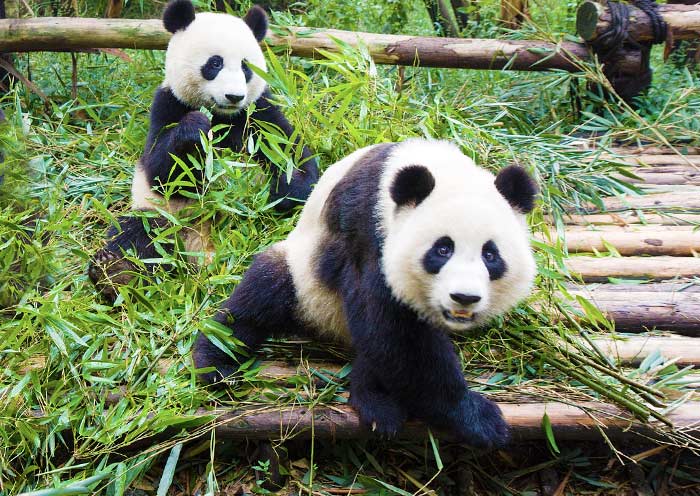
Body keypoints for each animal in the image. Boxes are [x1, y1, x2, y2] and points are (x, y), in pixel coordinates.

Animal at [88, 0, 318, 302]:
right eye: (215, 63)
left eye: (245, 67)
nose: (234, 97)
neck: (223, 115)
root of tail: (202, 253)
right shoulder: (167, 104)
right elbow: (161, 172)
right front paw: (195, 128)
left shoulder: (259, 112)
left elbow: (292, 154)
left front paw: (283, 189)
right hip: (166, 221)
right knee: (137, 233)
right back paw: (116, 273)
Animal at [193, 138, 538, 448]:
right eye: (442, 249)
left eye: (490, 255)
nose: (464, 297)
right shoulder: (369, 232)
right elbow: (394, 331)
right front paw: (477, 416)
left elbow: (388, 339)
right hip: (305, 281)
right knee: (260, 298)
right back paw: (217, 362)